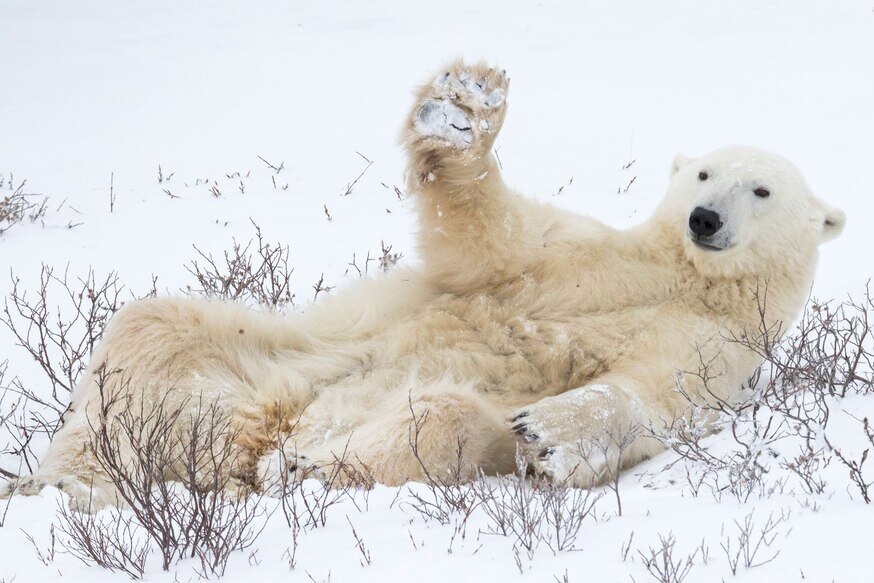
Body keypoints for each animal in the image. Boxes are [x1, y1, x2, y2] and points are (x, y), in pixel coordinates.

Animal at [1, 59, 844, 506]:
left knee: (444, 421)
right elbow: (488, 243)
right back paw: (65, 481)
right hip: (271, 353)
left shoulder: (718, 347)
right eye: (703, 173)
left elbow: (650, 395)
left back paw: (299, 463)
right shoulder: (580, 258)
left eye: (761, 188)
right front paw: (465, 104)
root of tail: (249, 434)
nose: (704, 218)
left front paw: (549, 430)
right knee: (148, 331)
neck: (681, 276)